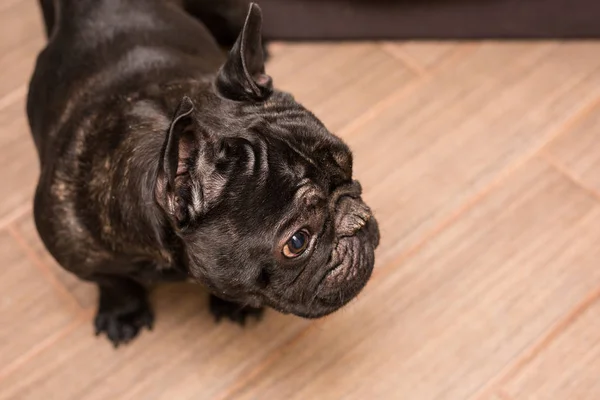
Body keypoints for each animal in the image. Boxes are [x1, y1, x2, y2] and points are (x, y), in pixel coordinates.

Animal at [28, 0, 380, 346]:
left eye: (349, 165)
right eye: (297, 242)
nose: (358, 218)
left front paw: (233, 304)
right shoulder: (79, 256)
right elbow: (114, 282)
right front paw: (123, 313)